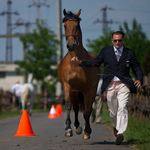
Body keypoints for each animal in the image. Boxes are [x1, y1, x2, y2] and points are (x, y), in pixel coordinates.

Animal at [58, 8, 100, 139]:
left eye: (77, 25)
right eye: (65, 25)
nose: (71, 45)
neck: (75, 63)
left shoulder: (89, 89)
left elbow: (87, 110)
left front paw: (87, 131)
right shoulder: (68, 86)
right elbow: (69, 106)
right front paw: (68, 129)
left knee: (86, 108)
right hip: (75, 91)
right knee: (76, 108)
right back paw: (77, 127)